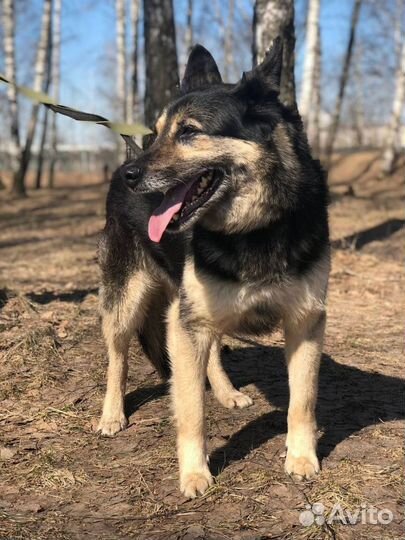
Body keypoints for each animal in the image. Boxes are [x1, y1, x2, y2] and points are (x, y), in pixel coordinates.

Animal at [97, 39, 328, 498]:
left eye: (189, 132)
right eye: (158, 131)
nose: (131, 175)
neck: (257, 228)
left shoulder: (305, 322)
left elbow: (303, 401)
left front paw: (300, 457)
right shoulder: (188, 324)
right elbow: (190, 410)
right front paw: (194, 473)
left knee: (213, 354)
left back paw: (227, 392)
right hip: (127, 302)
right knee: (118, 358)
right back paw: (112, 414)